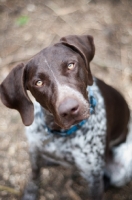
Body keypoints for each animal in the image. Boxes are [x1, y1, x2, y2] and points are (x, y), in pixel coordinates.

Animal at [0, 34, 132, 200]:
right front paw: (30, 193)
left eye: (70, 65)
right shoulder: (34, 151)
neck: (60, 134)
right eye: (38, 82)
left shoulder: (94, 177)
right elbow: (34, 176)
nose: (69, 110)